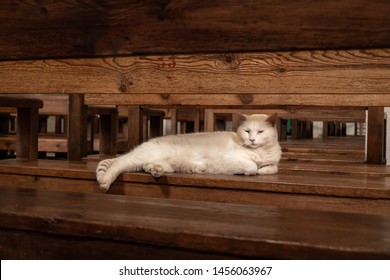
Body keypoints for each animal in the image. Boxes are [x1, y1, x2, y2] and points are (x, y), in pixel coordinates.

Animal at [96, 112, 282, 191]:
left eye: (260, 132)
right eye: (247, 131)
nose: (252, 140)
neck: (260, 152)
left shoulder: (273, 163)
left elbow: (273, 168)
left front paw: (263, 170)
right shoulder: (233, 159)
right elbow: (252, 166)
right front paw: (249, 171)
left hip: (163, 165)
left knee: (148, 166)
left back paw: (154, 170)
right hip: (136, 159)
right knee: (120, 162)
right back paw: (105, 182)